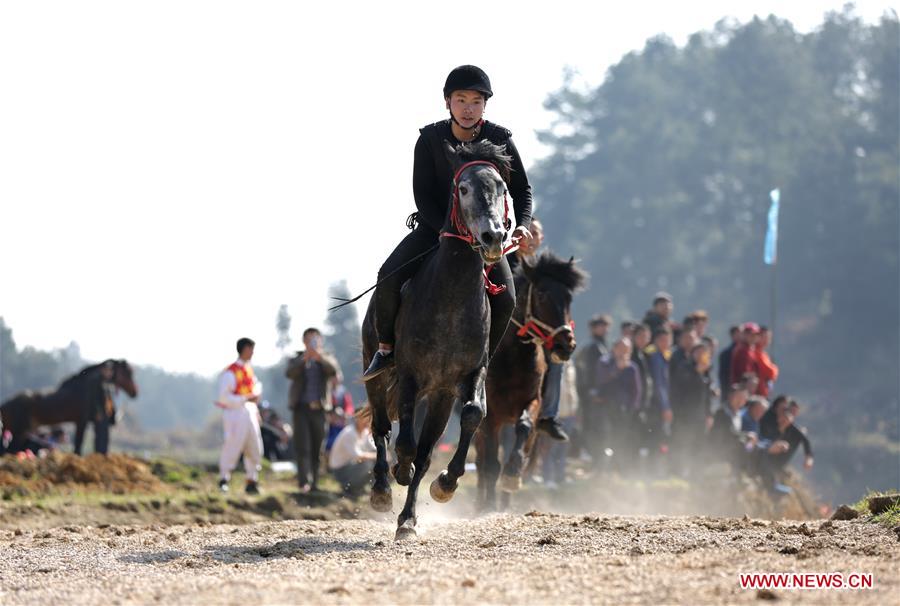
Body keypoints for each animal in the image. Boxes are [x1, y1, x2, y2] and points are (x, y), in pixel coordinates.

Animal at [360, 139, 512, 540]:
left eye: (502, 188)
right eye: (463, 188)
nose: (493, 237)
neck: (453, 297)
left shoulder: (464, 378)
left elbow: (472, 415)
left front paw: (445, 484)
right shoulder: (411, 376)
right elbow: (405, 442)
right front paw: (400, 471)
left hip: (440, 397)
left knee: (426, 448)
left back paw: (408, 519)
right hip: (377, 370)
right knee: (382, 428)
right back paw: (383, 488)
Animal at [474, 252, 588, 512]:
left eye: (568, 297)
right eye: (542, 294)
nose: (567, 344)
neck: (511, 358)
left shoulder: (532, 402)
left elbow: (524, 428)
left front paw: (512, 475)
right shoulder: (490, 416)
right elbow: (489, 464)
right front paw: (487, 506)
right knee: (481, 460)